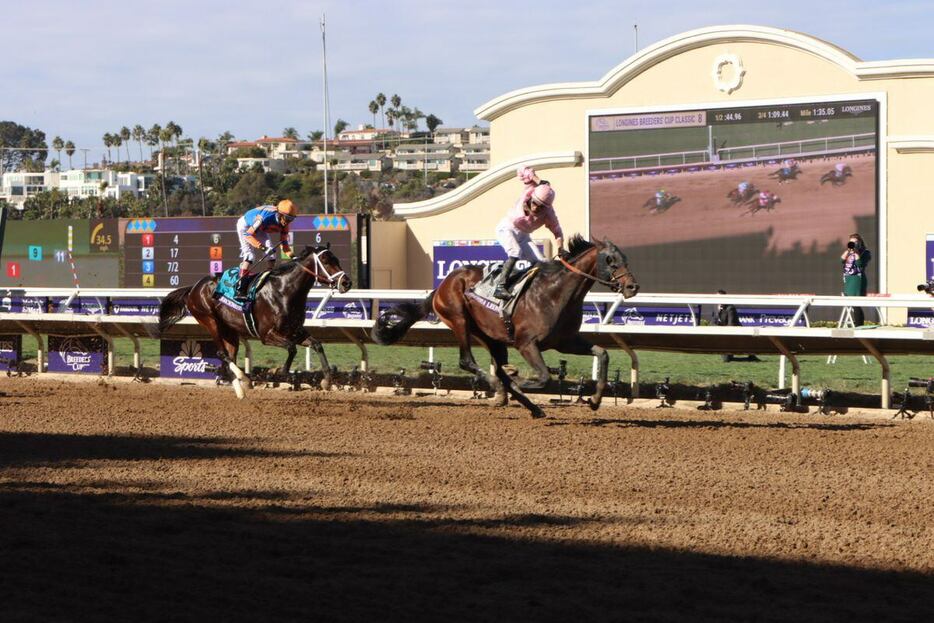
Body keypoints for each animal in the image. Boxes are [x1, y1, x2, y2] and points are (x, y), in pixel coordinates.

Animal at [159, 245, 352, 400]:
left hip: (229, 331)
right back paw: (244, 380)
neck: (285, 291)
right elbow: (291, 348)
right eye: (326, 261)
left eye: (337, 259)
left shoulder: (295, 331)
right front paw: (283, 373)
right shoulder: (267, 335)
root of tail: (193, 287)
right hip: (210, 321)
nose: (346, 282)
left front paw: (327, 380)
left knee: (228, 357)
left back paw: (239, 386)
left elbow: (317, 344)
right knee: (222, 353)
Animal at [372, 238, 644, 420]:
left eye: (625, 258)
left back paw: (529, 404)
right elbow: (543, 377)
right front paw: (517, 382)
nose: (632, 287)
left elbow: (602, 353)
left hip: (490, 336)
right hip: (459, 319)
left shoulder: (565, 340)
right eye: (610, 260)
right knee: (467, 361)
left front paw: (595, 400)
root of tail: (442, 285)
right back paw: (503, 388)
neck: (554, 293)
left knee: (495, 363)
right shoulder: (527, 344)